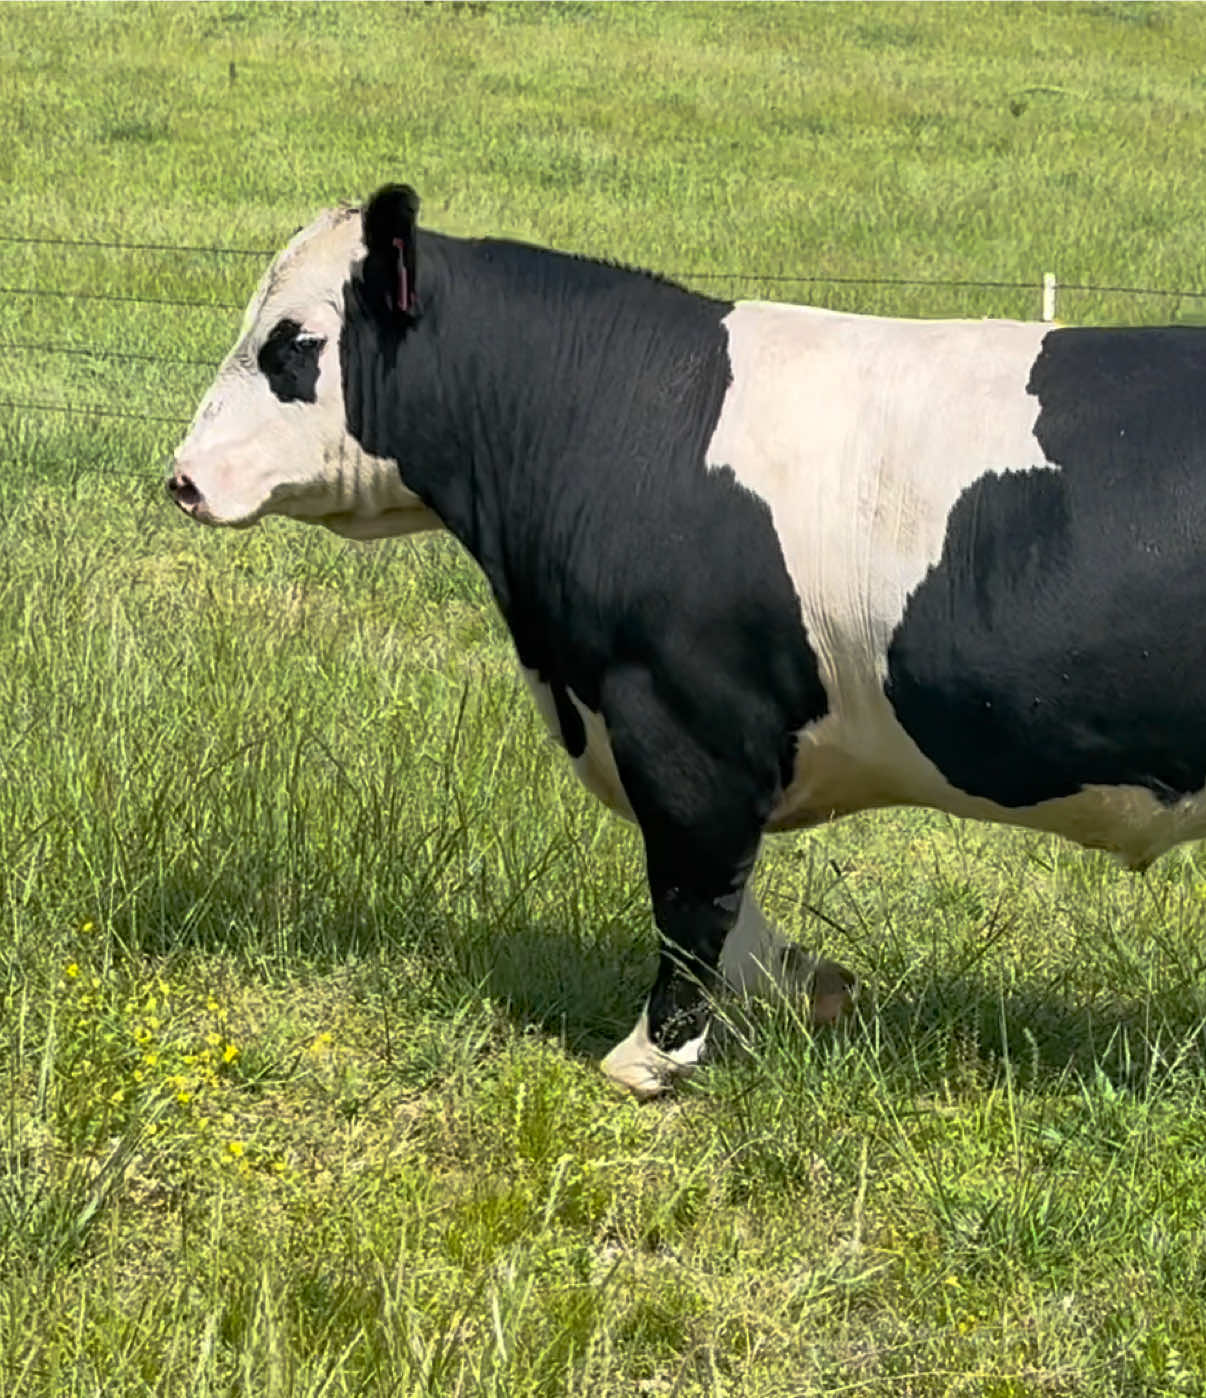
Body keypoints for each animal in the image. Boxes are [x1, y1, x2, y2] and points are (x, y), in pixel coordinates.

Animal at [168, 183, 1206, 1097]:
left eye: (294, 343)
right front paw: (810, 988)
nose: (181, 477)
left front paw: (653, 1057)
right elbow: (727, 899)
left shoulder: (678, 714)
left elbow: (692, 885)